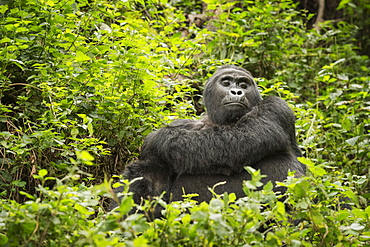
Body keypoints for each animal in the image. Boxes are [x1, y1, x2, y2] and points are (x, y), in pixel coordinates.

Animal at [110, 65, 306, 212]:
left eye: (244, 84)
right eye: (226, 82)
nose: (236, 92)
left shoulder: (276, 107)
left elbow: (243, 139)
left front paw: (157, 139)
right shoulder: (183, 124)